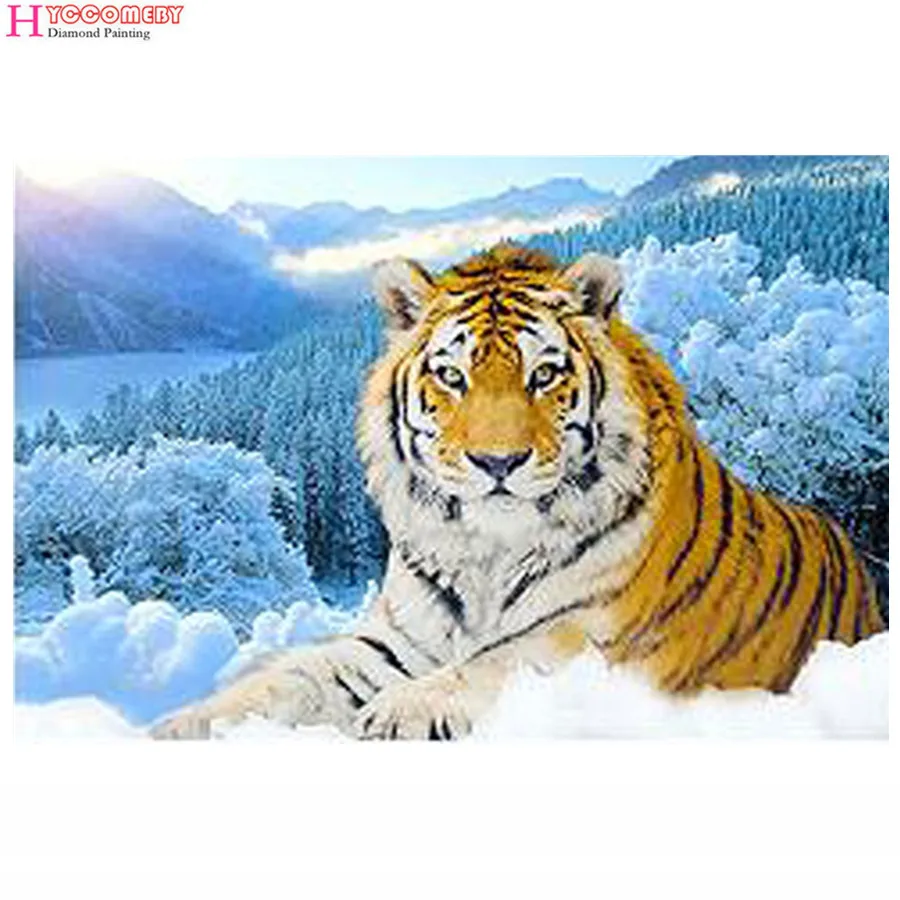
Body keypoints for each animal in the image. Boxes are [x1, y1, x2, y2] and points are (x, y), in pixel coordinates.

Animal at [152, 243, 885, 740]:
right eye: (451, 376)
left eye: (544, 375)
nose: (496, 461)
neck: (487, 552)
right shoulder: (396, 641)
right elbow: (289, 676)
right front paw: (180, 725)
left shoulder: (595, 638)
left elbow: (495, 664)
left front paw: (398, 712)